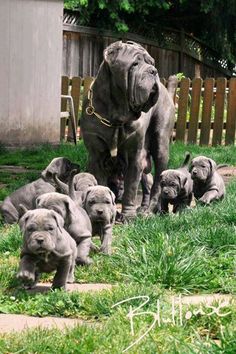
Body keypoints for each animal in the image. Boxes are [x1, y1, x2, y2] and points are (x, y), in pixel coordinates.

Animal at [80, 41, 176, 218]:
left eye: (151, 63)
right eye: (134, 64)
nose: (153, 71)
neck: (116, 115)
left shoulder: (134, 157)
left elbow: (130, 188)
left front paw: (128, 216)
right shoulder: (96, 157)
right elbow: (101, 184)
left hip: (160, 145)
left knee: (157, 183)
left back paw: (152, 209)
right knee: (147, 181)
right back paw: (143, 208)